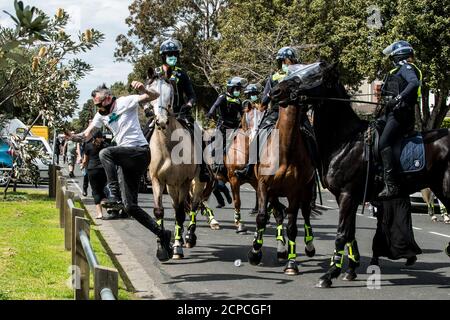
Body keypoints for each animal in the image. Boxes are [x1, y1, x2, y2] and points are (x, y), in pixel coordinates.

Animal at [268, 62, 450, 288]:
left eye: (312, 74)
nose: (276, 91)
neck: (345, 140)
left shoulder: (347, 195)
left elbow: (341, 234)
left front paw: (329, 275)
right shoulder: (346, 197)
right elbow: (350, 232)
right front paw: (350, 270)